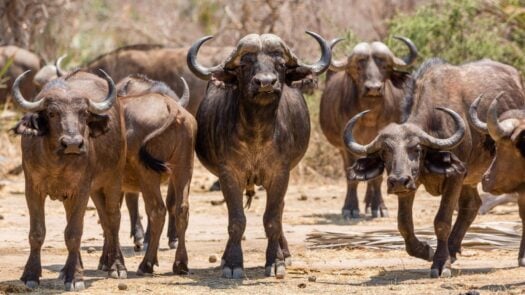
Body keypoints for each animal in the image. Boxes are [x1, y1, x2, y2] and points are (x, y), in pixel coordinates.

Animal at [320, 35, 418, 220]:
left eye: (385, 66)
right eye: (358, 67)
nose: (373, 88)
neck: (369, 117)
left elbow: (376, 178)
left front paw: (379, 207)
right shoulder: (347, 145)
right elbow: (352, 175)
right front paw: (350, 208)